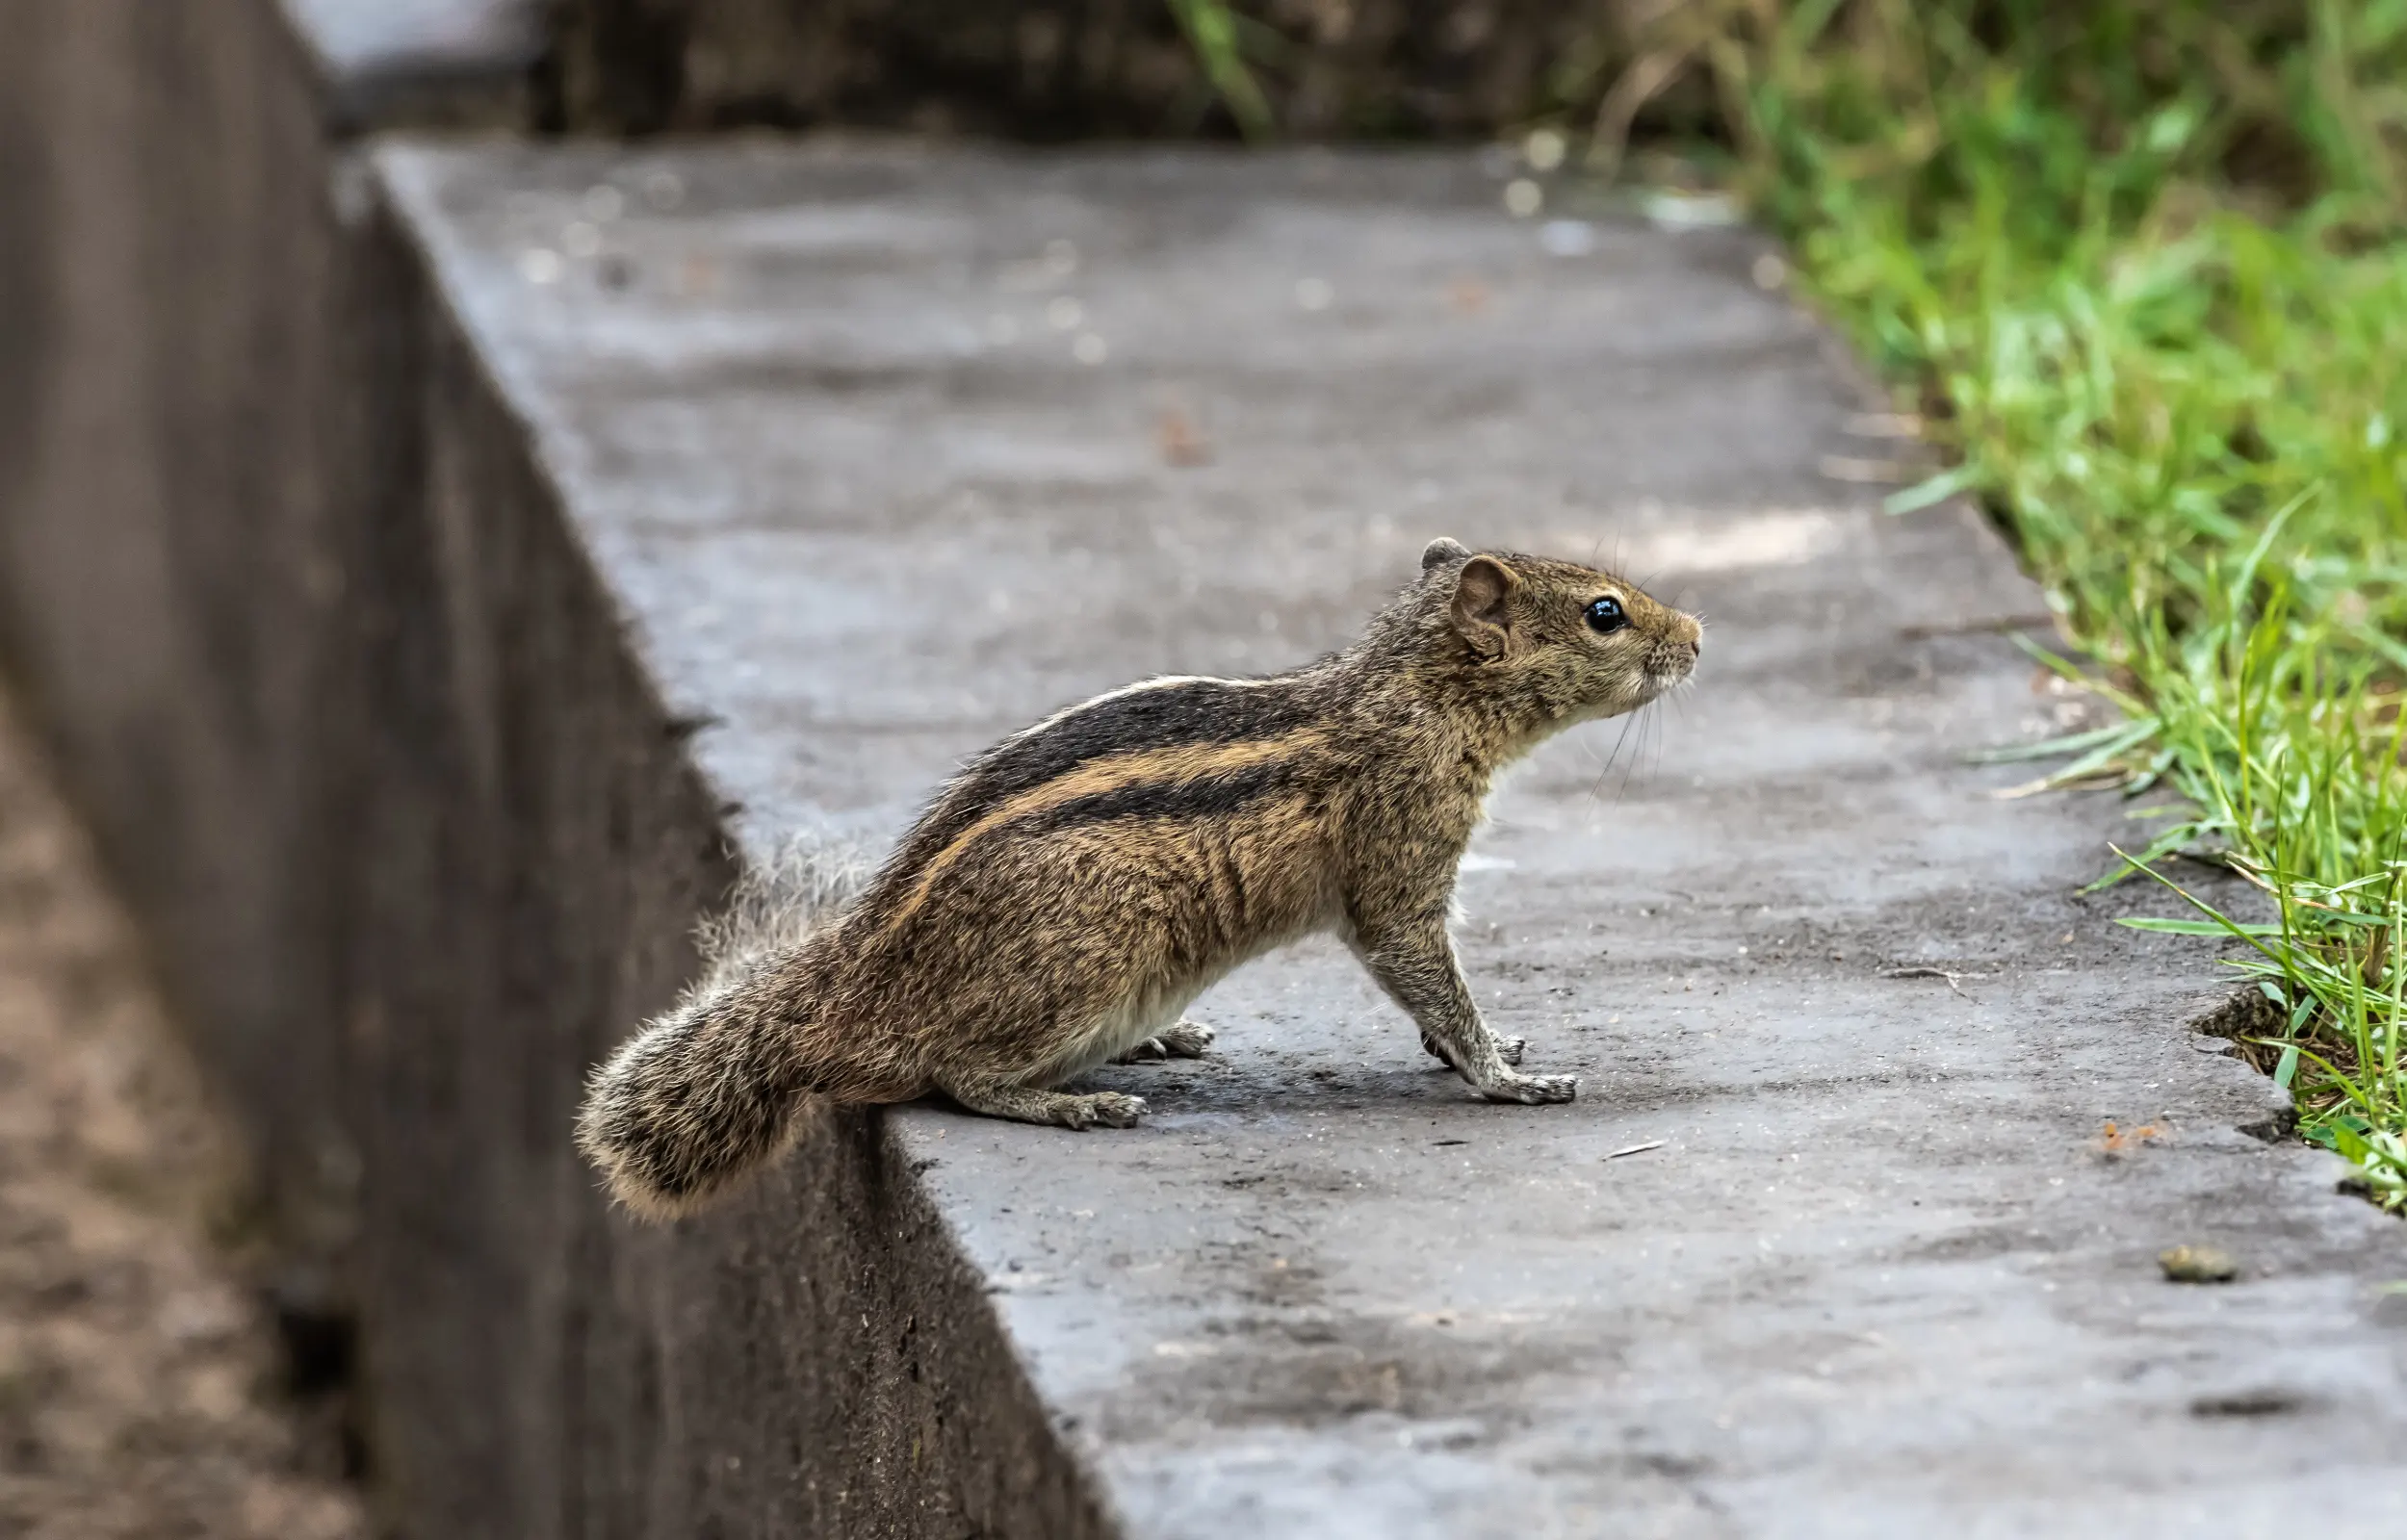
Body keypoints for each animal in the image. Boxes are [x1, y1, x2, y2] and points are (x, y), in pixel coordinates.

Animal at [577, 539, 1703, 1218]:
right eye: (1605, 612)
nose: (1696, 637)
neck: (1413, 690)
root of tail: (843, 985)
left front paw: (1483, 1048)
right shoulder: (1398, 855)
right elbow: (1420, 964)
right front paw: (1503, 1074)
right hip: (1095, 943)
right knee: (957, 1072)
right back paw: (1070, 1104)